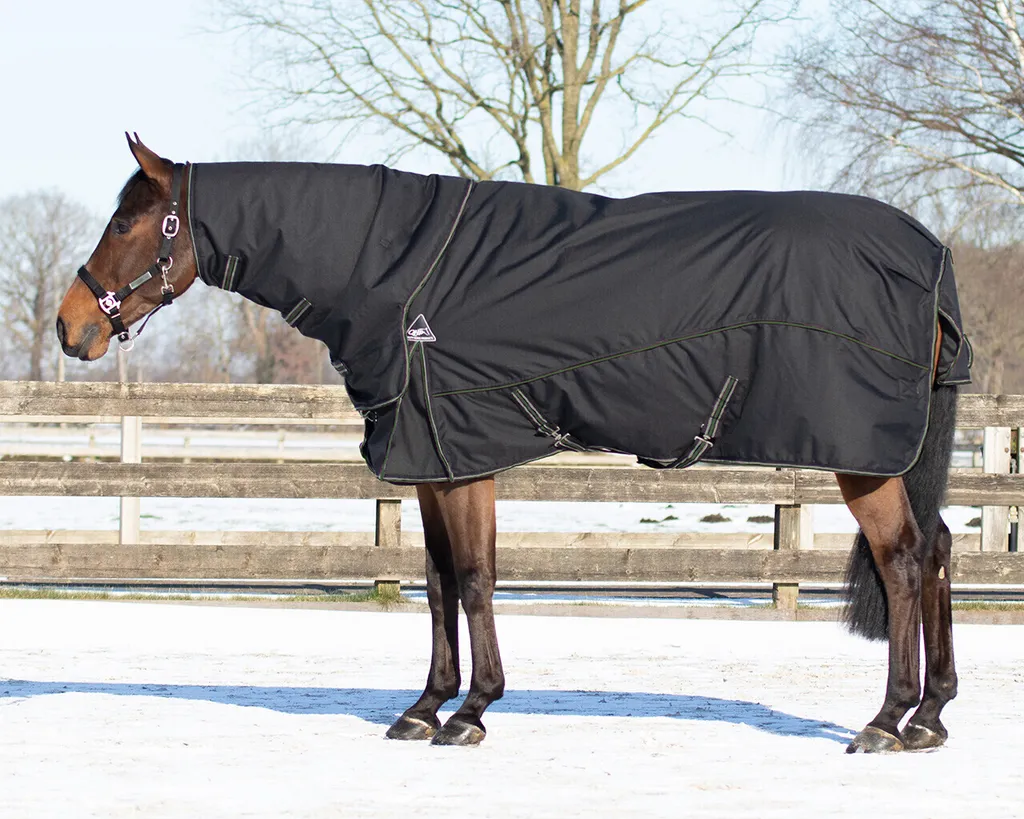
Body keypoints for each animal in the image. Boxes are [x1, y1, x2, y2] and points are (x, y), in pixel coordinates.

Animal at [57, 134, 966, 753]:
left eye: (130, 221)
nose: (70, 327)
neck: (395, 272)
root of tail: (928, 250)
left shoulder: (462, 457)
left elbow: (475, 578)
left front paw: (472, 711)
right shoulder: (432, 461)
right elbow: (434, 583)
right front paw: (424, 706)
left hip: (864, 461)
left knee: (902, 559)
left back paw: (886, 720)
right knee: (939, 548)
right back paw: (930, 714)